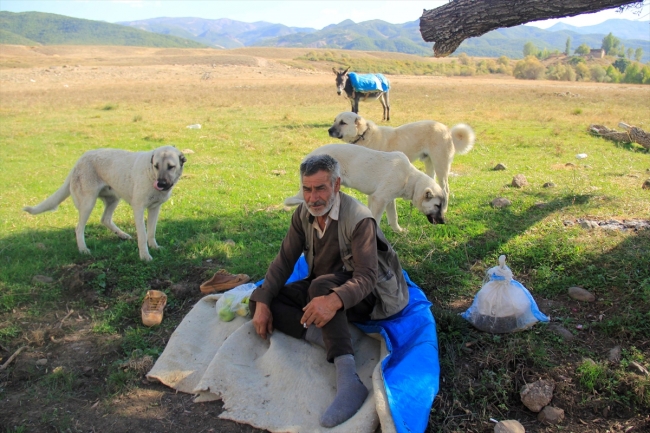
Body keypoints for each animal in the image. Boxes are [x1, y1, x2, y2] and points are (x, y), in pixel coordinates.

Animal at [23, 145, 185, 260]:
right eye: (156, 166)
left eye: (171, 167)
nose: (161, 184)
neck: (151, 173)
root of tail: (80, 160)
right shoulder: (138, 209)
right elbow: (143, 235)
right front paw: (145, 256)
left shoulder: (154, 208)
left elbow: (151, 232)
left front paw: (155, 247)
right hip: (88, 203)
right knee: (79, 228)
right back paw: (83, 249)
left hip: (114, 199)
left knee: (105, 219)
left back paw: (122, 235)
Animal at [284, 143, 446, 231]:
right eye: (437, 206)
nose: (444, 222)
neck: (410, 178)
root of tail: (308, 158)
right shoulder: (379, 199)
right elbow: (376, 218)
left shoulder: (387, 199)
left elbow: (393, 217)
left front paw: (398, 230)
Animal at [330, 111, 470, 211]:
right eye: (335, 120)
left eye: (343, 123)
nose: (329, 130)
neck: (363, 134)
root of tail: (447, 130)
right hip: (430, 165)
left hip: (441, 166)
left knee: (445, 189)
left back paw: (444, 209)